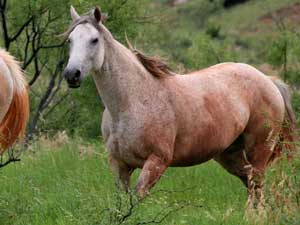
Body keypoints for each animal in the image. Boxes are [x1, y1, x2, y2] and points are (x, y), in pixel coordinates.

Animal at [63, 7, 296, 201]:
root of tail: (268, 80)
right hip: (229, 153)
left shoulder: (157, 162)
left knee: (256, 183)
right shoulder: (119, 165)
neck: (132, 102)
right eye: (70, 40)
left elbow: (135, 201)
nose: (71, 74)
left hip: (260, 148)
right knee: (249, 181)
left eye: (94, 40)